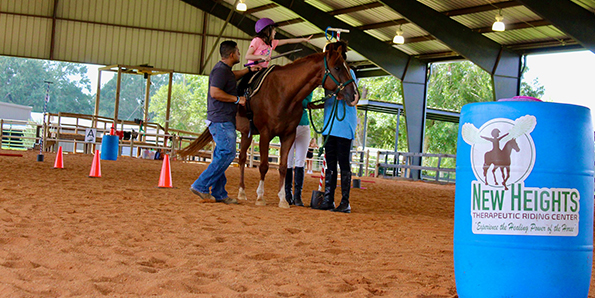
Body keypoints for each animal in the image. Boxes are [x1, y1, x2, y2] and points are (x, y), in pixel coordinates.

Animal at [180, 42, 358, 208]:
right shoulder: (266, 134)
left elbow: (283, 167)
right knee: (225, 158)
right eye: (337, 67)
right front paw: (260, 197)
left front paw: (283, 200)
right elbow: (264, 165)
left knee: (241, 158)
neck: (283, 93)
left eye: (347, 67)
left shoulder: (288, 135)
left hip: (246, 134)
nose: (354, 95)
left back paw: (240, 192)